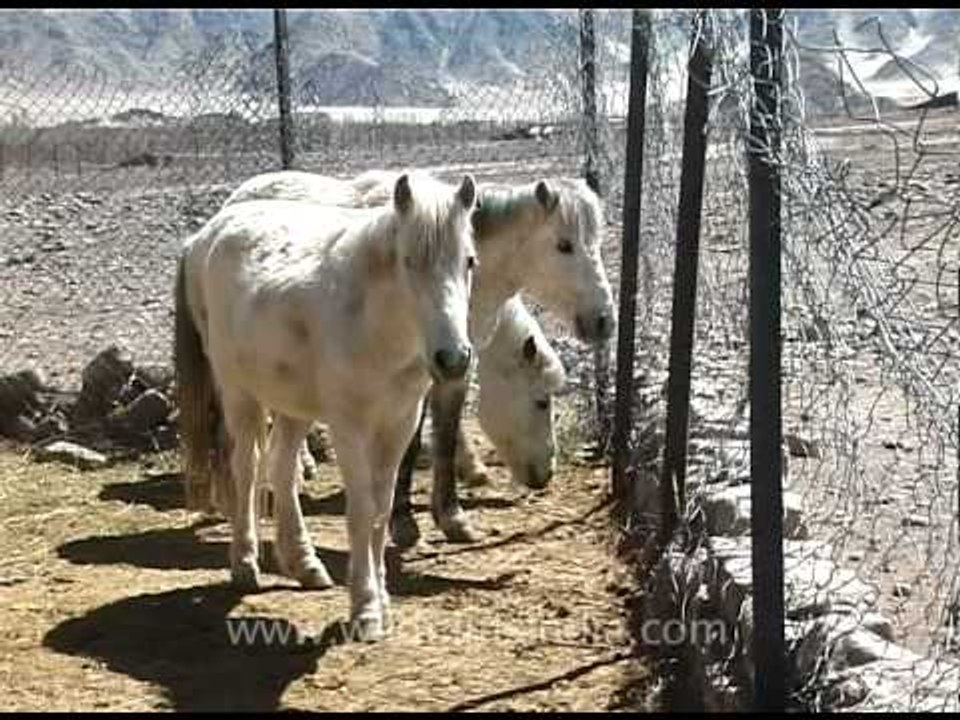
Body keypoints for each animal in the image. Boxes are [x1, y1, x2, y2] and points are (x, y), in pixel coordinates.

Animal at [174, 171, 478, 641]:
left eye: (469, 261)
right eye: (408, 262)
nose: (453, 359)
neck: (374, 325)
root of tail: (204, 236)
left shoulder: (399, 424)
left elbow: (382, 508)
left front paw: (382, 602)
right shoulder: (349, 426)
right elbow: (362, 510)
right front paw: (365, 609)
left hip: (293, 405)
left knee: (281, 467)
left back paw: (304, 564)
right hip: (241, 395)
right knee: (247, 468)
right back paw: (245, 564)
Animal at [226, 169, 616, 547]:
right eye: (564, 245)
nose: (604, 321)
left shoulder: (454, 366)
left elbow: (446, 431)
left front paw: (453, 513)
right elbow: (412, 443)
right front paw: (403, 520)